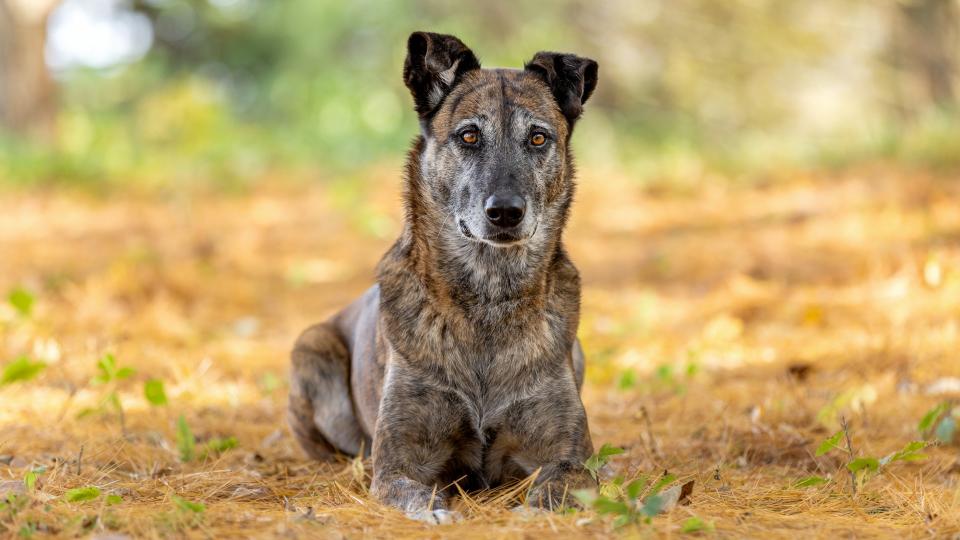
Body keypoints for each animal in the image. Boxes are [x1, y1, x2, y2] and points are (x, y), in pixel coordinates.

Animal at [286, 30, 600, 524]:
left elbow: (555, 487)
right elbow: (413, 491)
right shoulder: (399, 462)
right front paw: (436, 512)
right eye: (468, 135)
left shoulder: (571, 458)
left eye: (537, 138)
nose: (505, 212)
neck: (489, 298)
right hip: (310, 351)